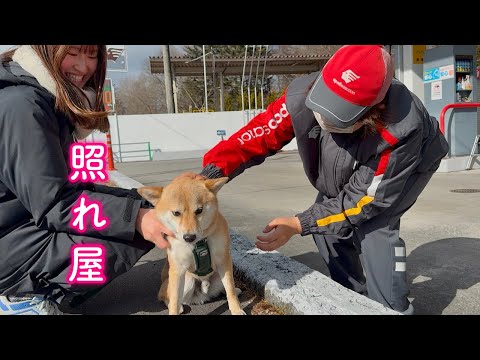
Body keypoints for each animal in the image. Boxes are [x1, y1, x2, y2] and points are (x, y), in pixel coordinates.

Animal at [138, 177, 244, 316]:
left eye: (199, 210)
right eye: (176, 213)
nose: (189, 237)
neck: (198, 243)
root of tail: (201, 295)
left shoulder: (224, 260)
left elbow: (230, 289)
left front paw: (236, 309)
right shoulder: (178, 269)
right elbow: (174, 298)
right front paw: (174, 309)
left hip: (217, 276)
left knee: (225, 287)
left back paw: (235, 290)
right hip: (186, 280)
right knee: (165, 296)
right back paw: (177, 306)